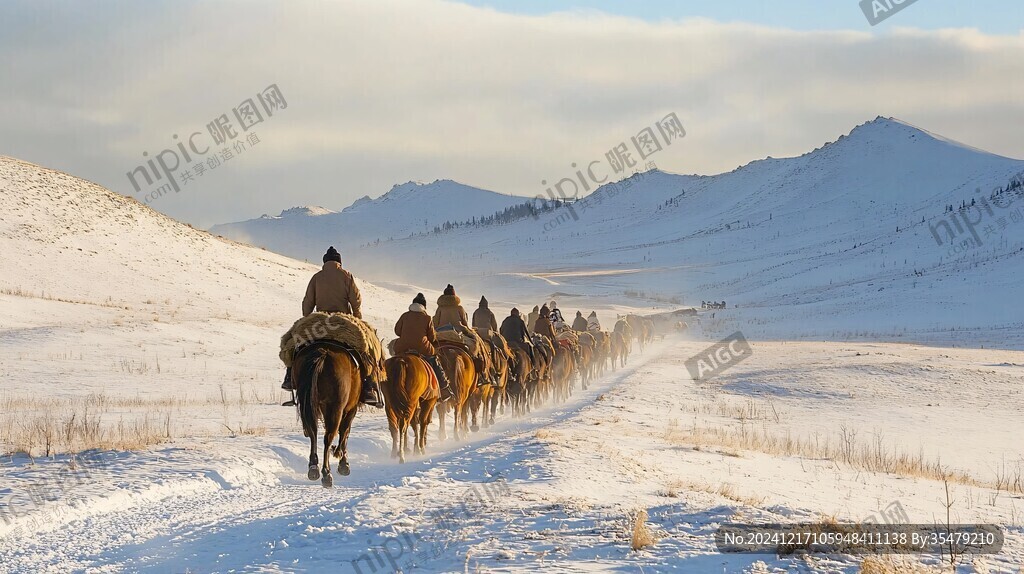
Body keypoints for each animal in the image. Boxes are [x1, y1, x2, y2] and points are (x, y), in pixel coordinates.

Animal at [292, 339, 360, 487]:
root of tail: (323, 354)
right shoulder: (350, 409)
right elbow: (345, 432)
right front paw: (342, 462)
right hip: (335, 408)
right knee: (329, 436)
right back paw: (326, 474)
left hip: (308, 404)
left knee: (313, 433)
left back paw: (314, 468)